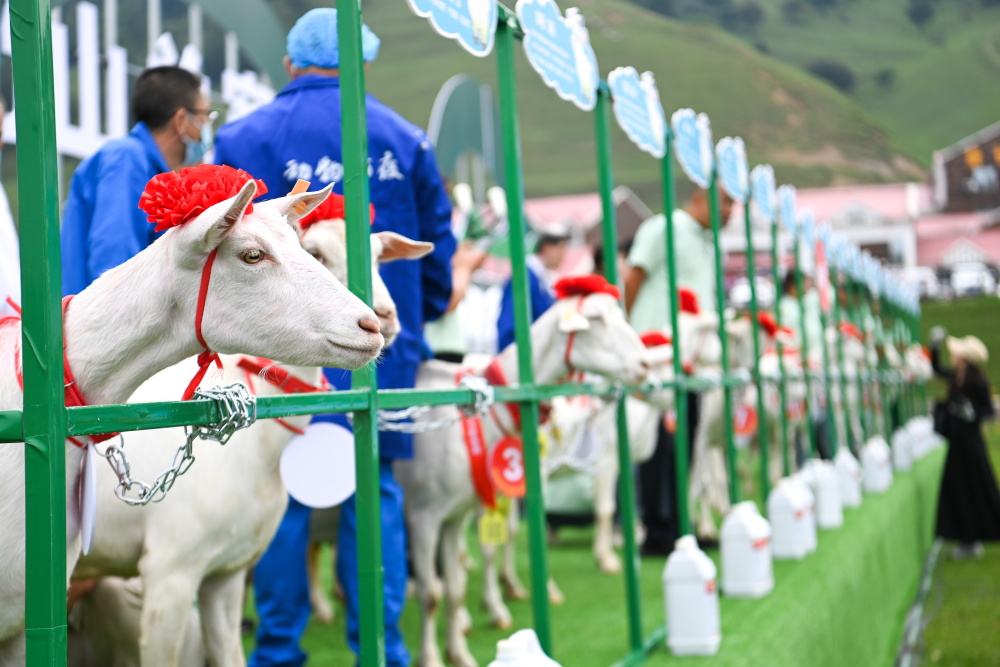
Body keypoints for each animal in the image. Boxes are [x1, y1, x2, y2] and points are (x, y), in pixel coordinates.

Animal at [70, 219, 430, 667]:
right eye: (316, 251)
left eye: (379, 256)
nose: (379, 321)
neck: (255, 451)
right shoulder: (169, 572)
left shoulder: (227, 570)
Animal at [394, 290, 652, 667]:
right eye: (595, 319)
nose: (645, 365)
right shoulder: (423, 515)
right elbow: (432, 593)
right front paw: (431, 658)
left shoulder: (455, 515)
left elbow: (456, 588)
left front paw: (460, 652)